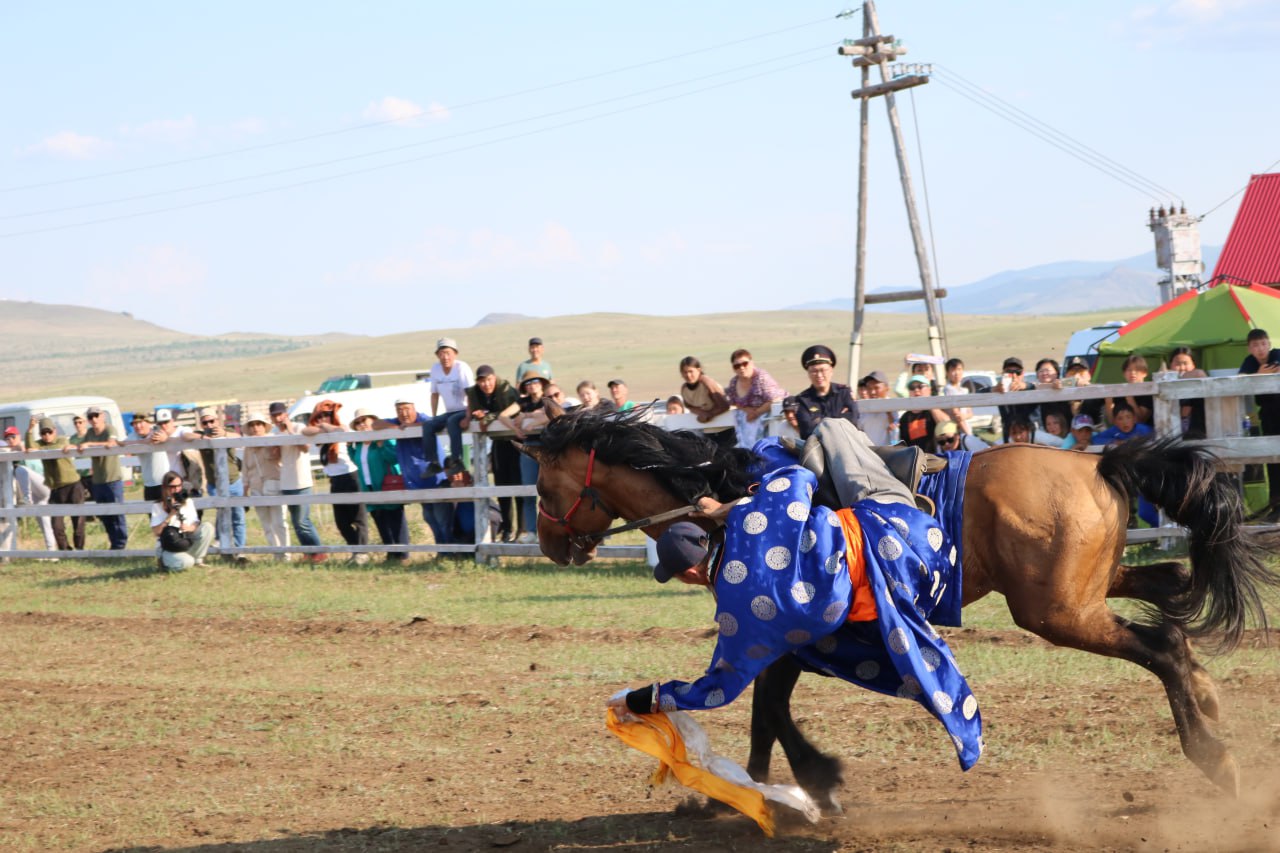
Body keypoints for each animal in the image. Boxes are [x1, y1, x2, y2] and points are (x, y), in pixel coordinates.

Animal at [524, 407, 1274, 804]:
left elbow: (769, 707)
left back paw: (1213, 755)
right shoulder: (793, 637)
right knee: (1172, 592)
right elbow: (767, 711)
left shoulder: (787, 627)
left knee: (1160, 645)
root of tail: (1099, 462)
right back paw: (1210, 701)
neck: (731, 494)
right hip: (1083, 590)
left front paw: (802, 781)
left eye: (544, 486)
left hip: (1058, 613)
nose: (552, 544)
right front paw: (753, 796)